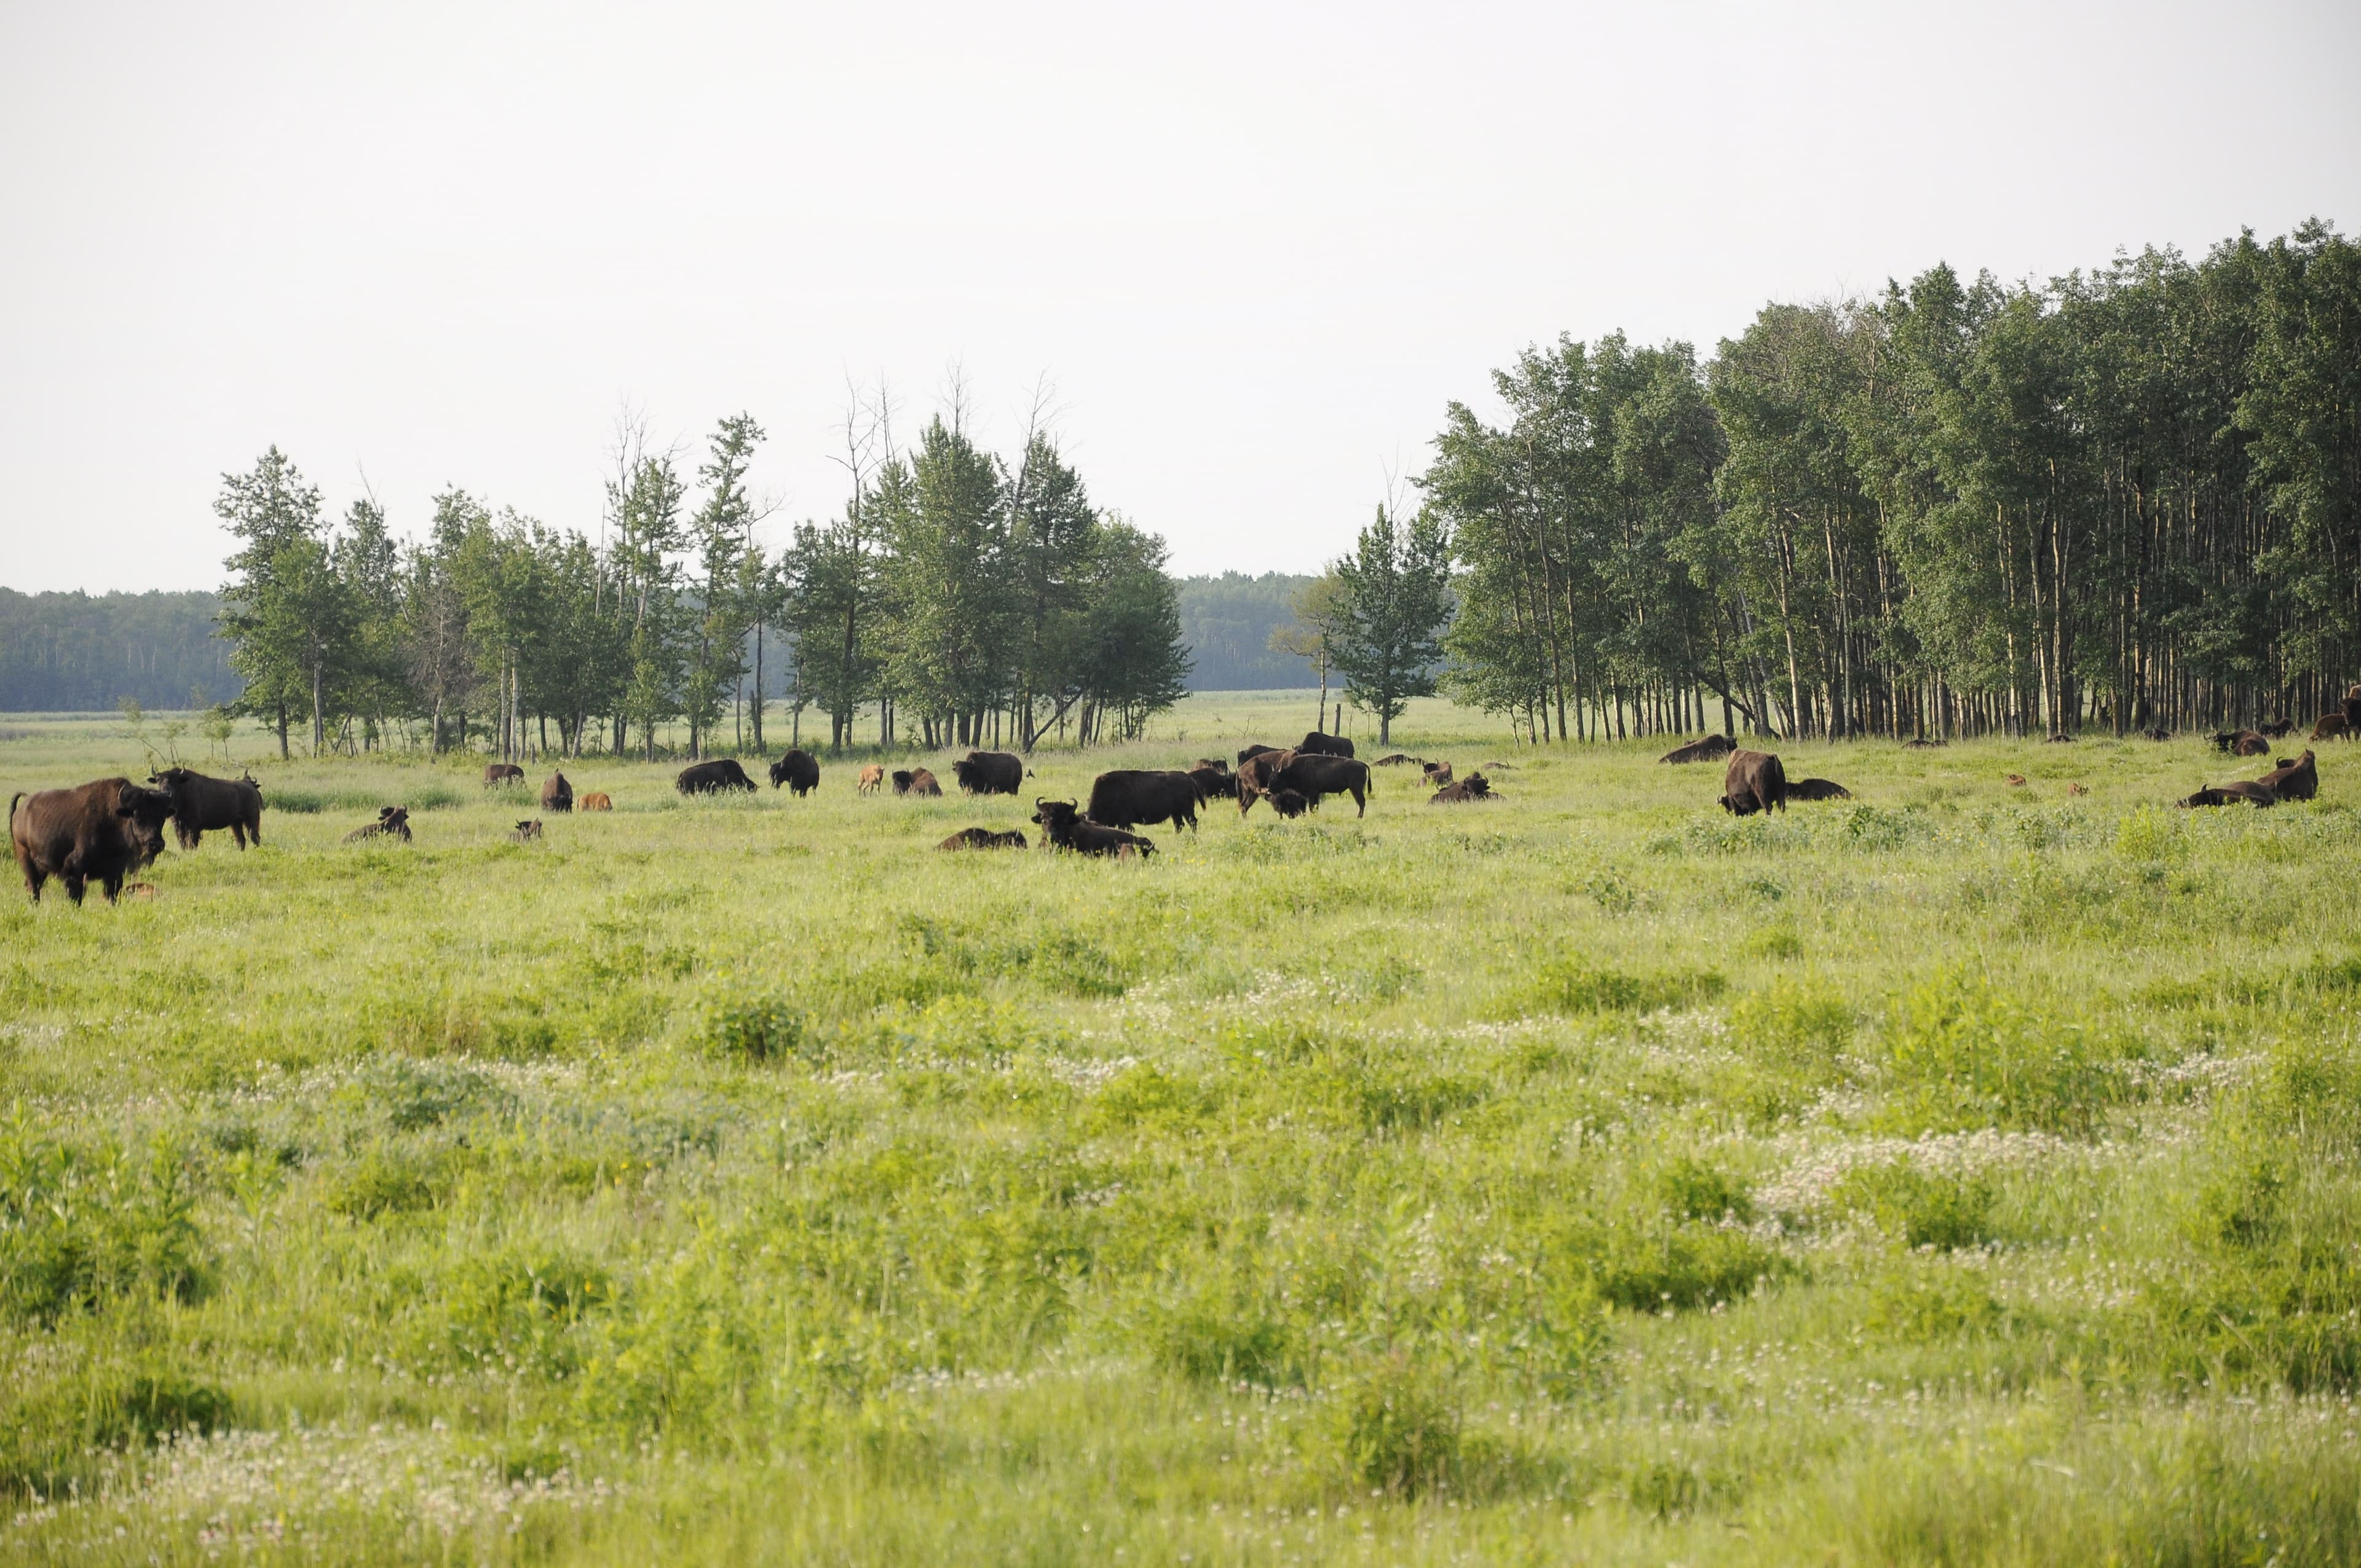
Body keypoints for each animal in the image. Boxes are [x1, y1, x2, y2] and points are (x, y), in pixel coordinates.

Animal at [10, 777, 172, 904]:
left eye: (162, 817)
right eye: (137, 815)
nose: (156, 844)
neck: (116, 818)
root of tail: (20, 811)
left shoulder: (115, 873)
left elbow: (112, 895)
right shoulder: (75, 870)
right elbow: (76, 896)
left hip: (41, 867)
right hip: (27, 859)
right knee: (33, 887)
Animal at [147, 766, 264, 851]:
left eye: (174, 781)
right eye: (158, 781)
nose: (166, 792)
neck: (183, 789)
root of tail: (251, 789)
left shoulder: (193, 827)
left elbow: (192, 843)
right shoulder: (178, 826)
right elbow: (183, 843)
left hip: (251, 820)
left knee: (255, 837)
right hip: (236, 823)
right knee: (241, 840)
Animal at [1087, 770, 1201, 833]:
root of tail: (1189, 779)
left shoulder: (1125, 822)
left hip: (1187, 810)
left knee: (1192, 822)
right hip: (1176, 813)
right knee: (1179, 825)